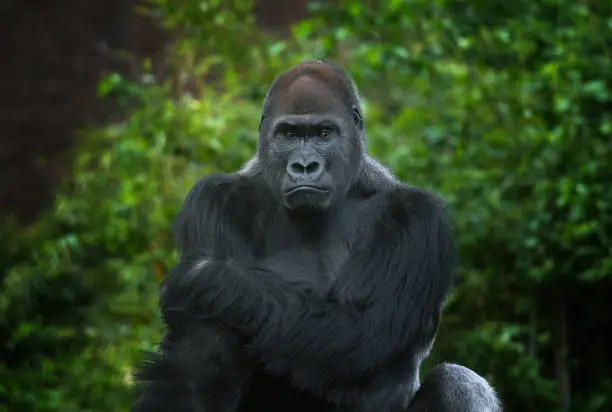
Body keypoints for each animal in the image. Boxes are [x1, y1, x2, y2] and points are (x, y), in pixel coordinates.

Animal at [131, 61, 500, 412]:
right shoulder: (214, 200)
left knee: (458, 382)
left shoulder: (416, 217)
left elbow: (367, 331)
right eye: (289, 134)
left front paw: (209, 279)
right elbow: (200, 353)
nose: (305, 166)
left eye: (324, 134)